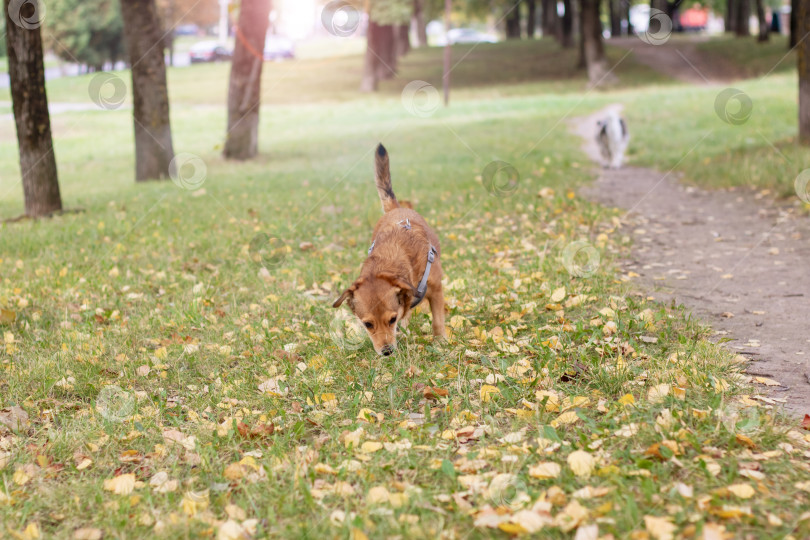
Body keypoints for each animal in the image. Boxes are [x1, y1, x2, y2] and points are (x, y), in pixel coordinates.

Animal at [334, 143, 448, 356]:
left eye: (391, 319)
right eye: (367, 324)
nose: (386, 351)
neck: (388, 261)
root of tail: (396, 208)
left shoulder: (436, 289)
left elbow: (437, 320)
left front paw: (440, 342)